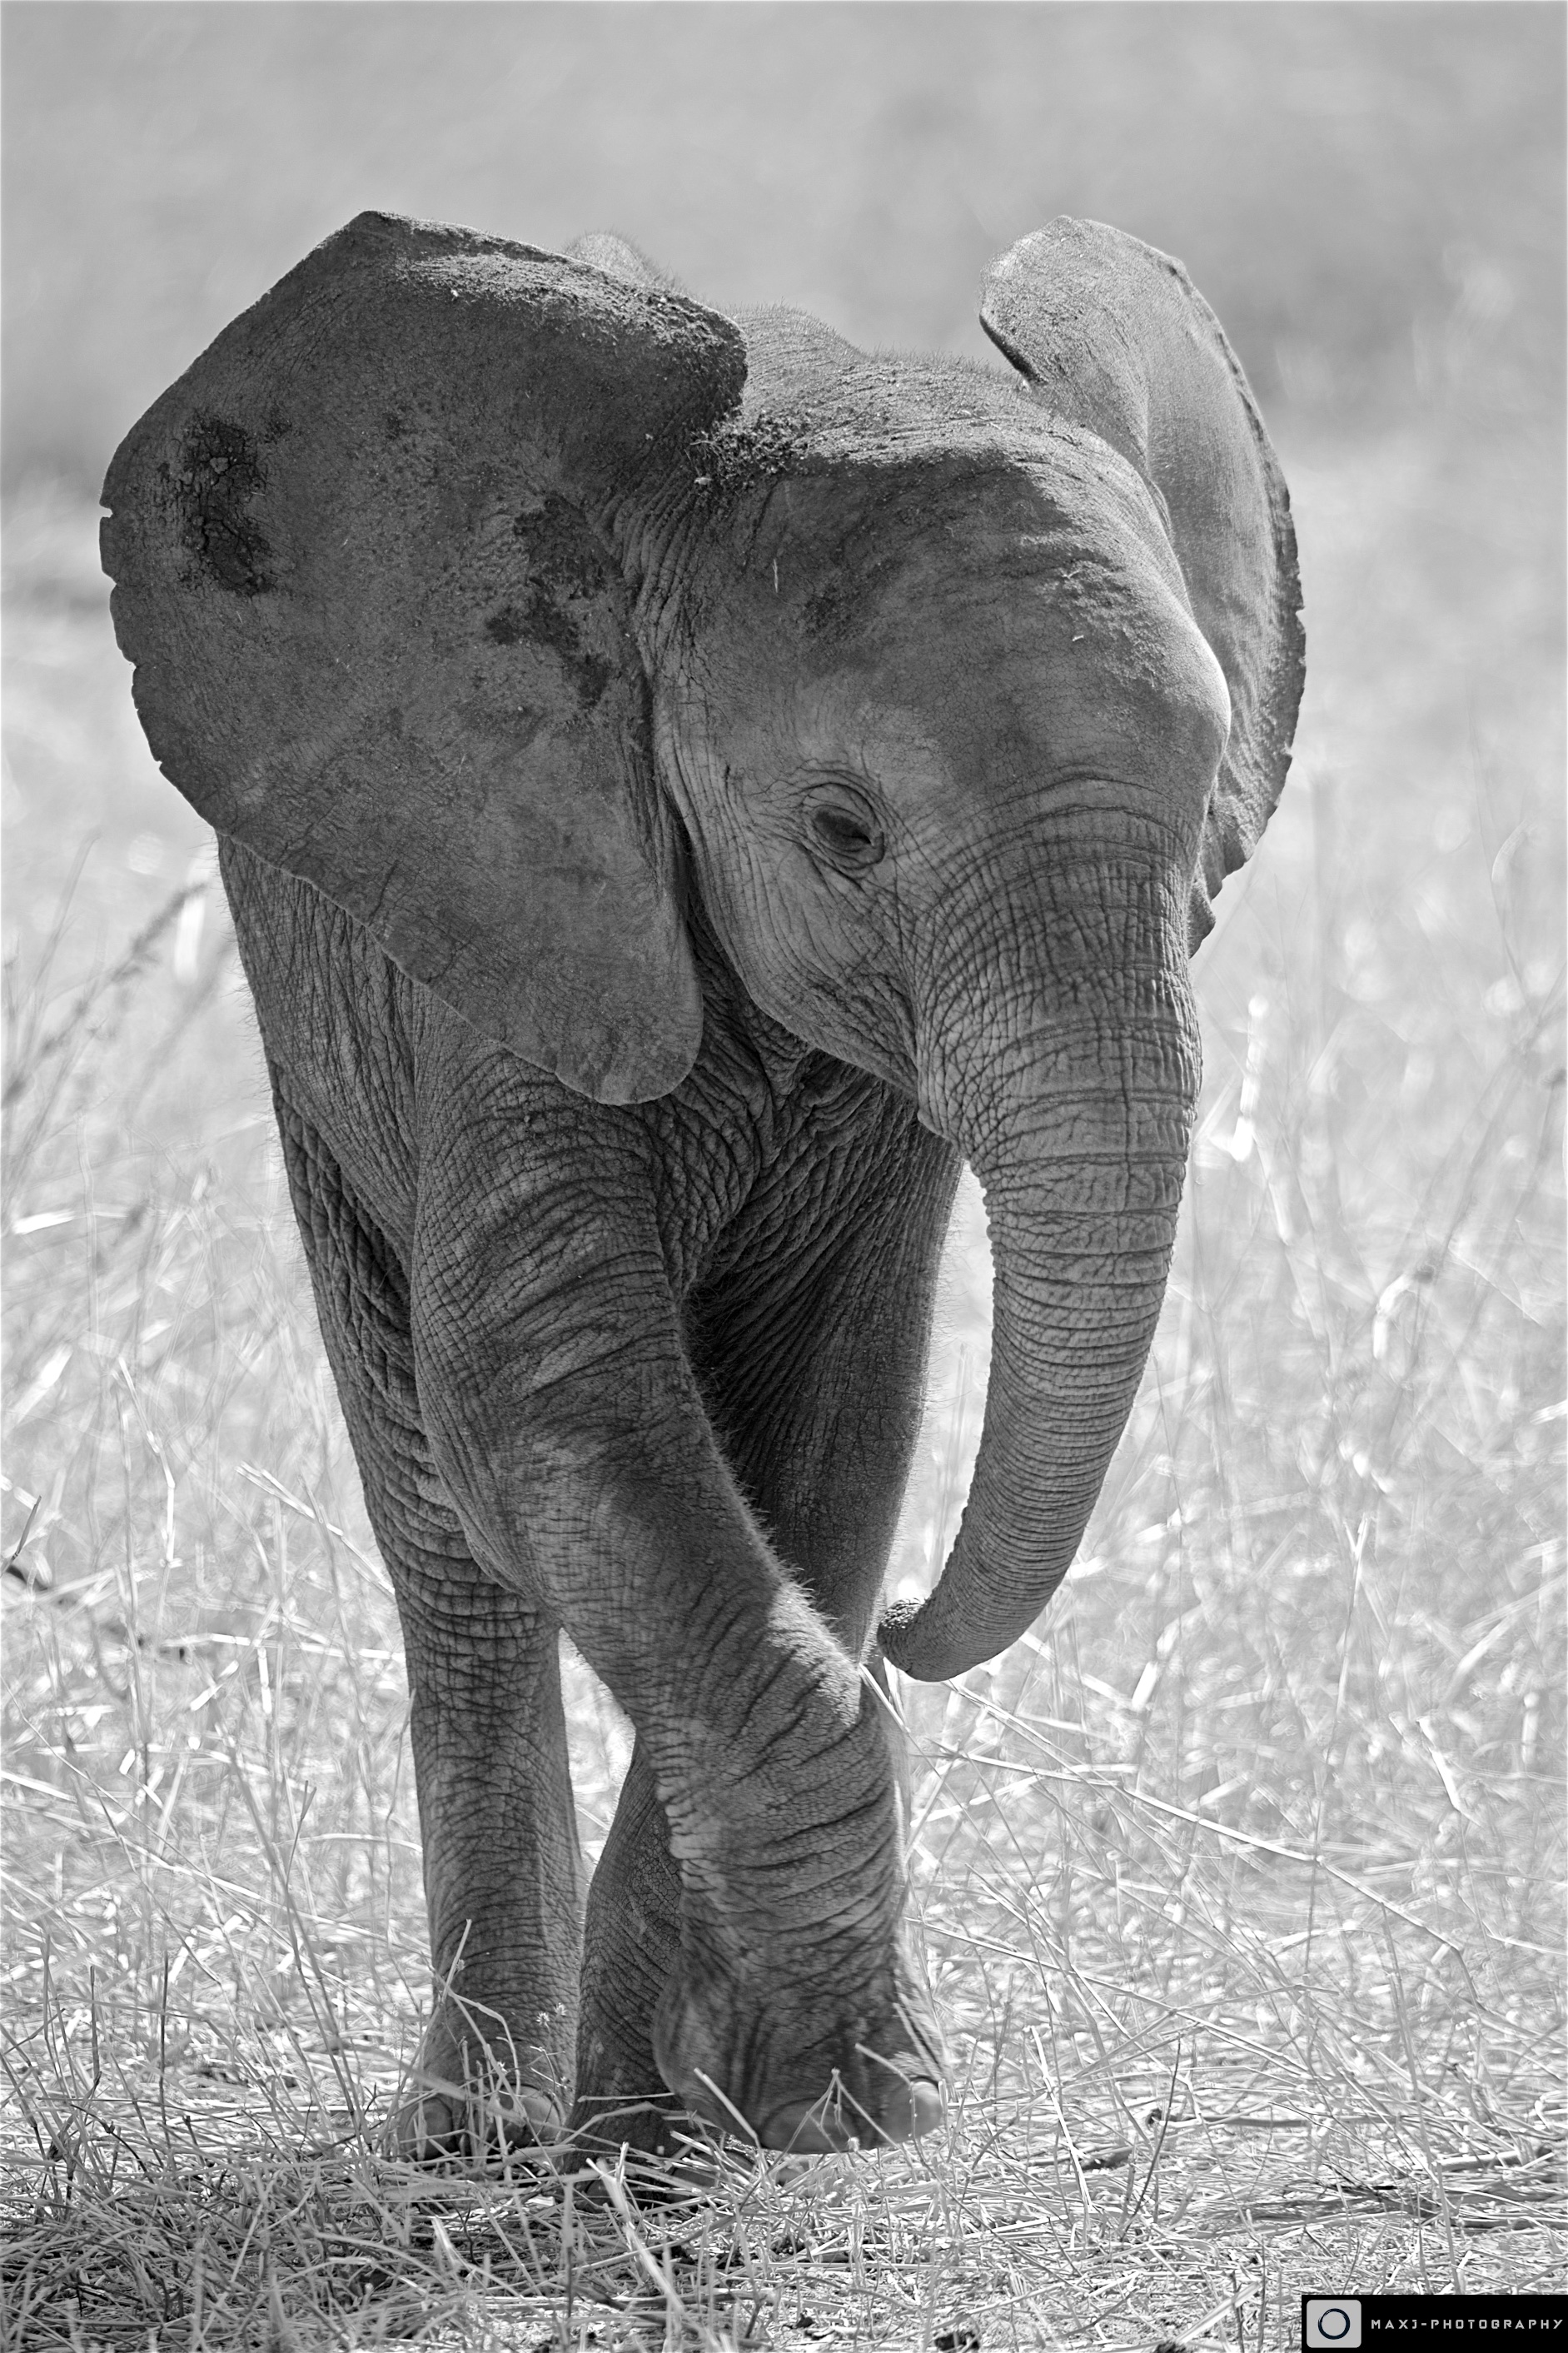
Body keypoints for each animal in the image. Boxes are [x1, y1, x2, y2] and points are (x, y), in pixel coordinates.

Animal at [100, 210, 1303, 2162]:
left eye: (1208, 801)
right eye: (840, 831)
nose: (916, 1632)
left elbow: (830, 1422)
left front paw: (719, 2125)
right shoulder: (511, 909)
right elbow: (552, 1408)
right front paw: (822, 2092)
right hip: (318, 1020)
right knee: (439, 1520)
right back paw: (473, 2132)